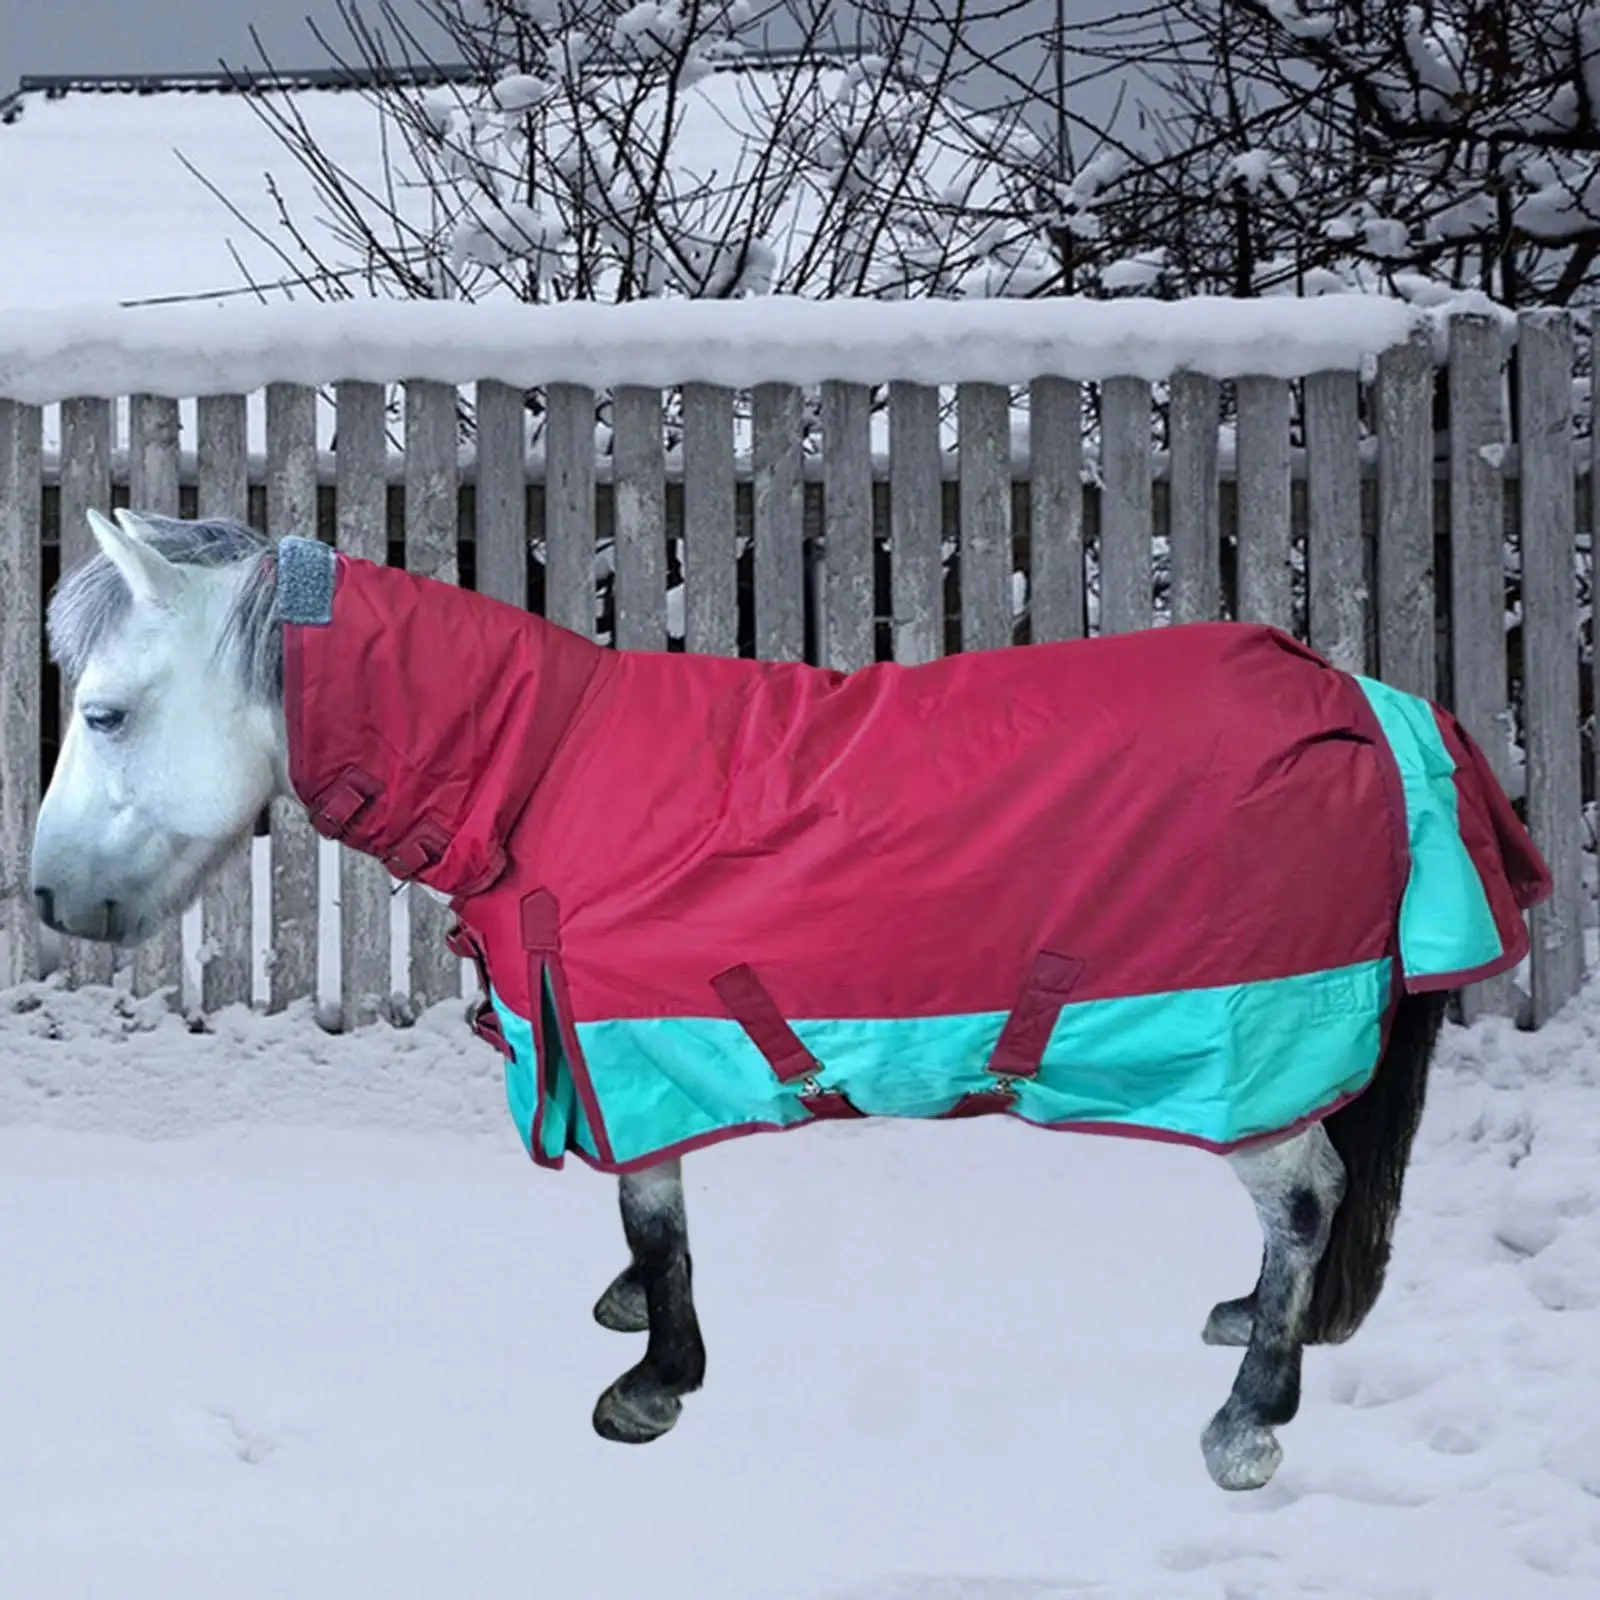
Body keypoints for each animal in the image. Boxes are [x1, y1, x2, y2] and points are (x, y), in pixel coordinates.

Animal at [30, 509, 1549, 1491]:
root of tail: (1371, 703)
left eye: (103, 713)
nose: (45, 898)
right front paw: (634, 1325)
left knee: (1307, 1199)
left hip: (1237, 1056)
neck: (539, 770)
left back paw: (1249, 1415)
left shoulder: (633, 1049)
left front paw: (655, 1383)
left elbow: (655, 1221)